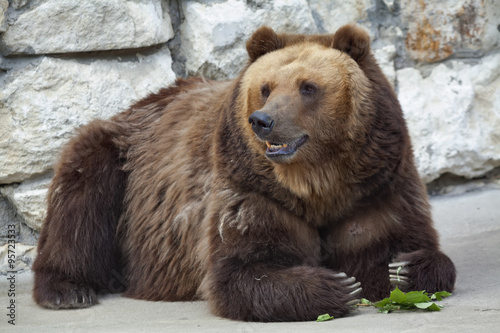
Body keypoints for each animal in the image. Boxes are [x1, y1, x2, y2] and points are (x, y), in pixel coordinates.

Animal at [32, 24, 458, 320]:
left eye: (308, 87)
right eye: (266, 87)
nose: (263, 121)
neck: (318, 183)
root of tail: (140, 103)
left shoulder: (376, 187)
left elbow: (392, 243)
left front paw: (404, 268)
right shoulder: (250, 189)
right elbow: (240, 271)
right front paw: (337, 285)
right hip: (121, 160)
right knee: (81, 202)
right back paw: (68, 289)